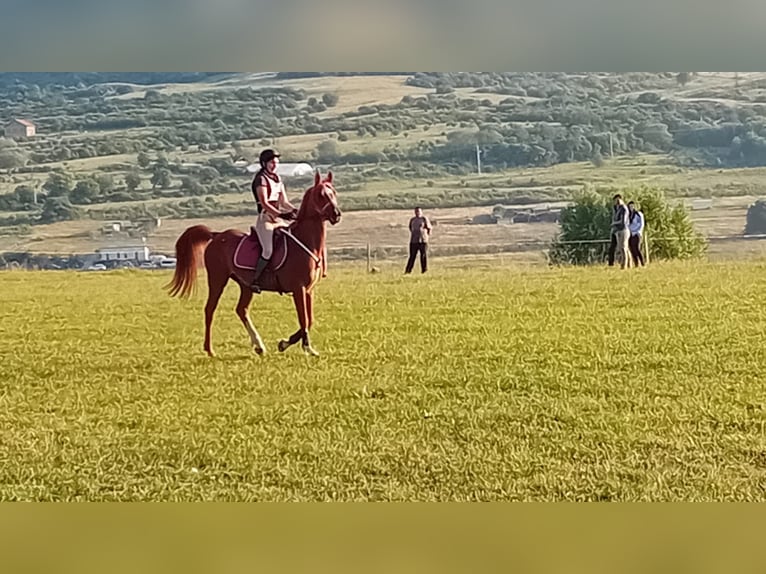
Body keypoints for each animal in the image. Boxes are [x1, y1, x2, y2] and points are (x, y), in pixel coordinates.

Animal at [167, 171, 342, 358]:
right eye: (321, 195)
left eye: (334, 193)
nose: (337, 214)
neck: (305, 242)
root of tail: (216, 235)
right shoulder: (298, 289)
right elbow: (304, 319)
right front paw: (305, 348)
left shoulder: (308, 290)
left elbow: (309, 320)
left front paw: (286, 343)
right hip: (217, 279)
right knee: (210, 309)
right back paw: (210, 349)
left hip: (246, 285)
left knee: (241, 309)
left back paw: (258, 345)